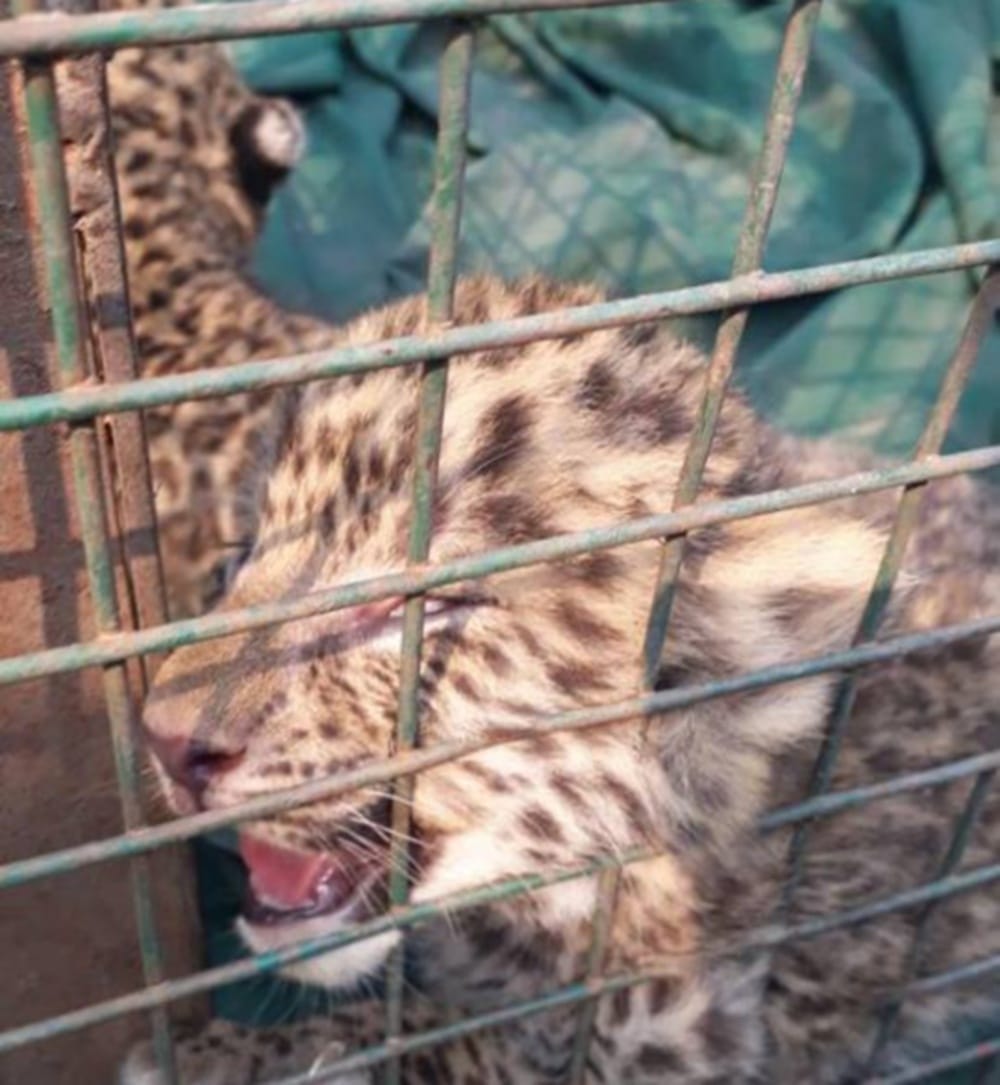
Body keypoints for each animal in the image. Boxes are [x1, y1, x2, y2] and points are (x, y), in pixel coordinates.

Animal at [110, 32, 1000, 1085]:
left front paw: (213, 1054)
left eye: (429, 605)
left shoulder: (681, 1038)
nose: (167, 740)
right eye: (247, 548)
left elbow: (458, 1042)